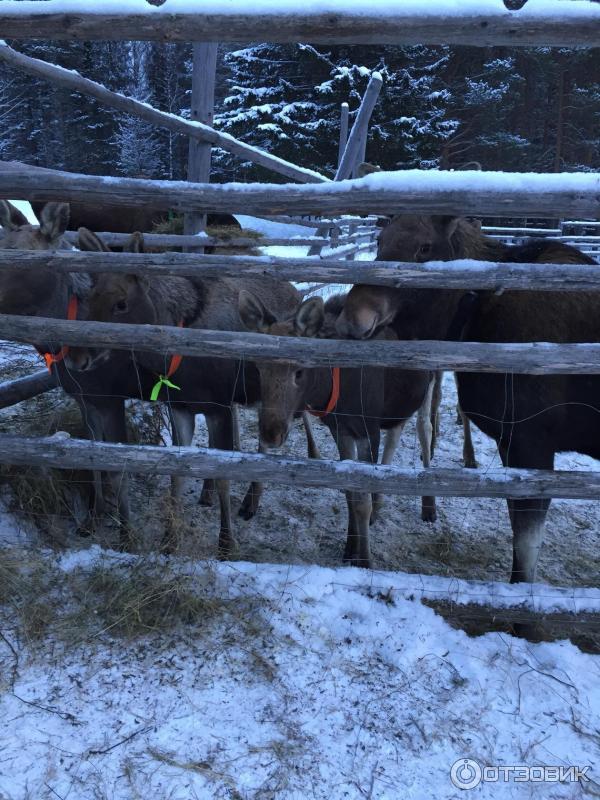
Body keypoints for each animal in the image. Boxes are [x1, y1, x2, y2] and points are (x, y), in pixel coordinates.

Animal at [237, 290, 438, 568]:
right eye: (259, 368)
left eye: (300, 371)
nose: (271, 432)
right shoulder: (341, 430)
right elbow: (349, 493)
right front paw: (350, 547)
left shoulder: (367, 430)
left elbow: (361, 500)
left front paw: (364, 559)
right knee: (395, 433)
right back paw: (380, 504)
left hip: (431, 380)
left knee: (425, 428)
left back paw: (429, 506)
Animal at [340, 214, 596, 580]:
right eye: (379, 240)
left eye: (425, 247)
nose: (354, 315)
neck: (471, 319)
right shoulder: (511, 443)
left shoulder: (531, 442)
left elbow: (526, 554)